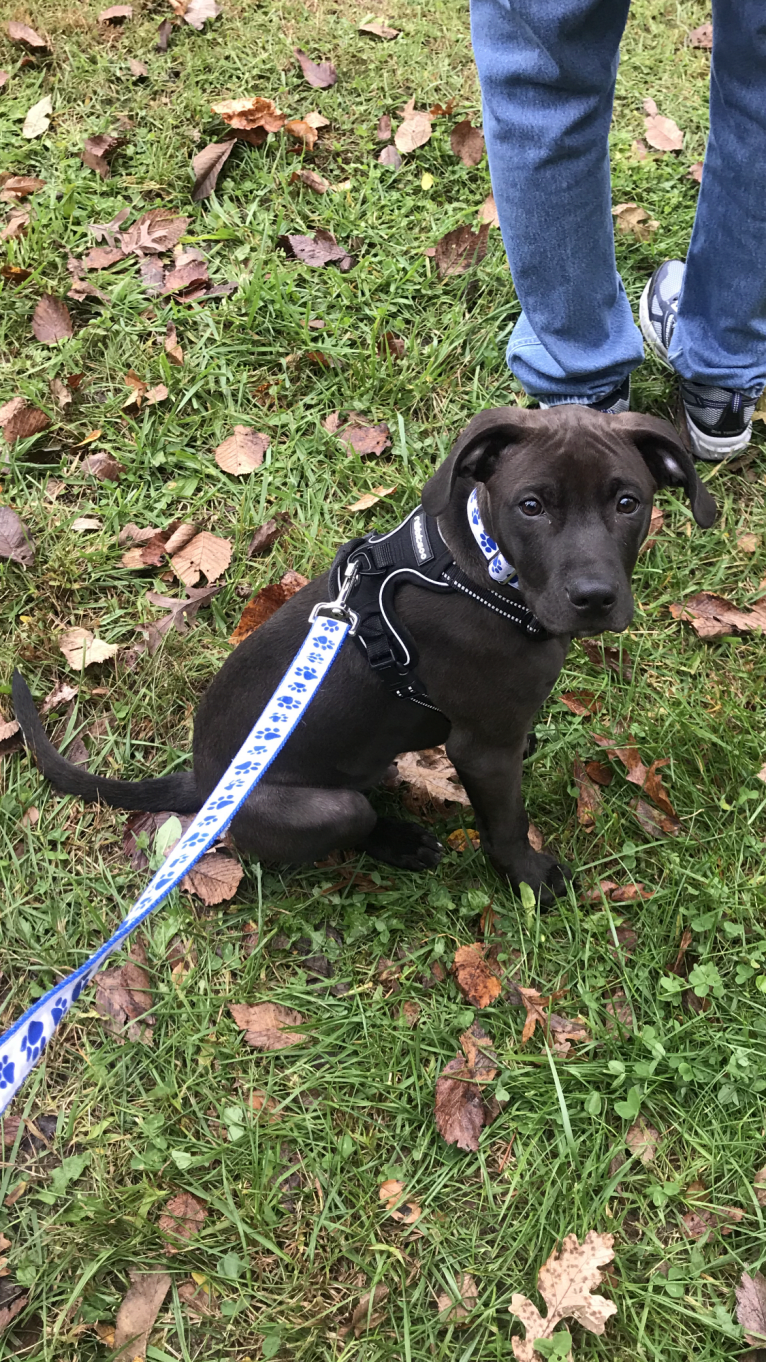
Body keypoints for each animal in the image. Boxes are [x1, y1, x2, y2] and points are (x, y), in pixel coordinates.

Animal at [11, 405, 714, 904]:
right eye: (532, 506)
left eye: (628, 502)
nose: (594, 598)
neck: (483, 570)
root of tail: (208, 783)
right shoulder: (480, 750)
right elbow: (507, 822)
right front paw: (530, 879)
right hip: (330, 807)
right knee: (359, 819)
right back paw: (400, 842)